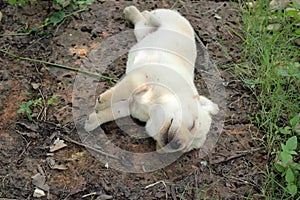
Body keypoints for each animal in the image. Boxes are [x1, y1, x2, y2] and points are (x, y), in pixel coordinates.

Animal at [84, 5, 218, 152]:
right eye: (192, 125)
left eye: (186, 149)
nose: (177, 145)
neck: (155, 109)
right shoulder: (141, 78)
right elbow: (119, 92)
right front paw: (100, 102)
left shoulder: (130, 106)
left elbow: (113, 112)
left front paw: (92, 121)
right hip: (164, 17)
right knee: (149, 15)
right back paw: (134, 10)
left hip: (141, 32)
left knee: (140, 23)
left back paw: (132, 13)